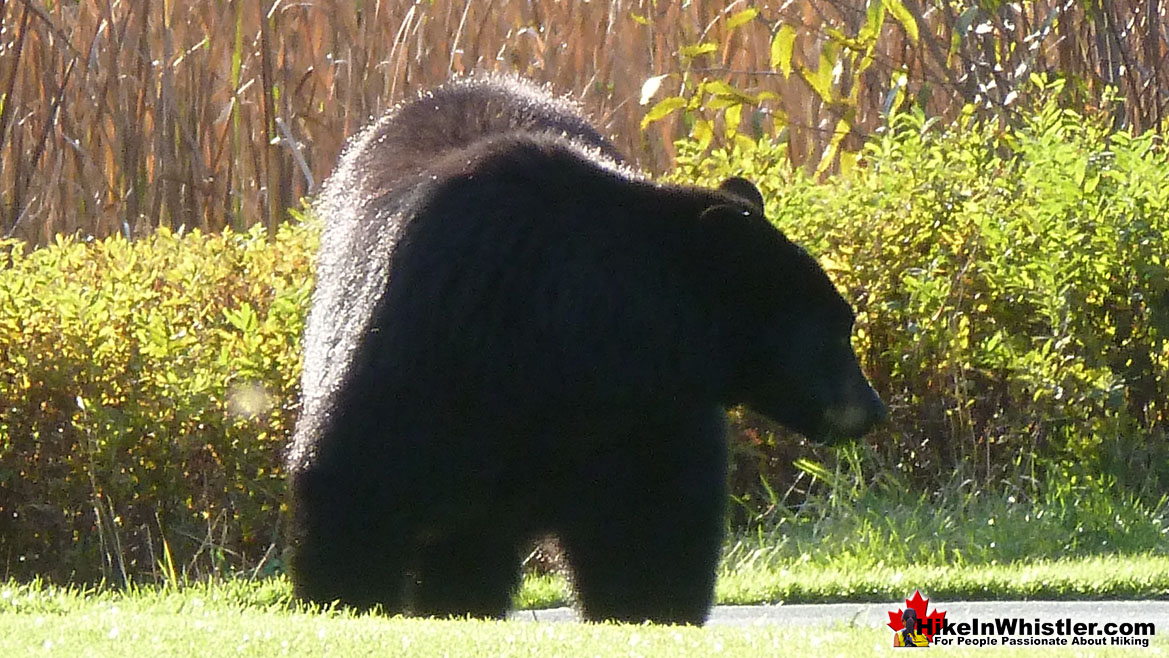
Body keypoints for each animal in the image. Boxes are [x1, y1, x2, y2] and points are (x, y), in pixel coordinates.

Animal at [285, 74, 883, 626]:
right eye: (834, 330)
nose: (872, 408)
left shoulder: (646, 415)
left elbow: (653, 523)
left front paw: (649, 608)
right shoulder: (423, 349)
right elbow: (352, 489)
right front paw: (347, 598)